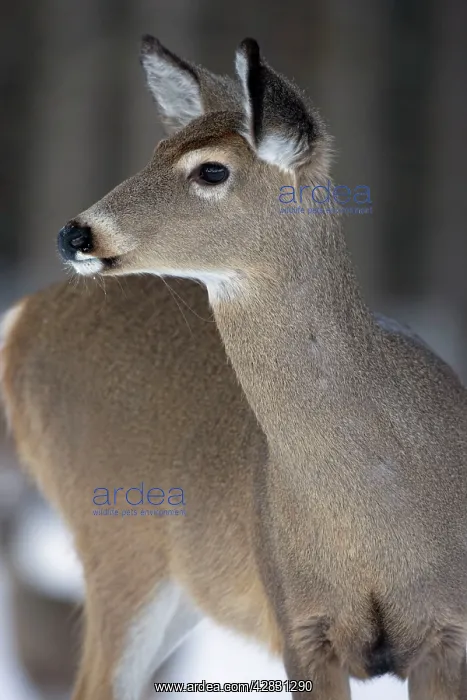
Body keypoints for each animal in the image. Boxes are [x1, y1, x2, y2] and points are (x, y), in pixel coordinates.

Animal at [2, 34, 467, 700]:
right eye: (157, 149)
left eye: (211, 169)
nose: (74, 234)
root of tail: (20, 317)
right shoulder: (298, 621)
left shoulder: (446, 632)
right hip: (116, 535)